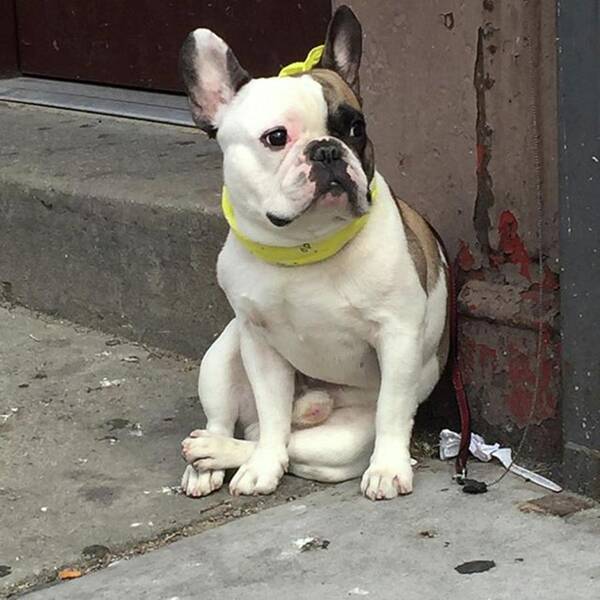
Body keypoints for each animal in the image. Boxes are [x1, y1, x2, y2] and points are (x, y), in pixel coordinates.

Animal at [180, 5, 448, 502]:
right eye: (276, 137)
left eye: (356, 128)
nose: (326, 150)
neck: (303, 248)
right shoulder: (259, 342)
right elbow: (270, 416)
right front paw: (262, 468)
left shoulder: (398, 335)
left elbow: (391, 410)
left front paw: (388, 468)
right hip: (222, 354)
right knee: (243, 423)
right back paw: (206, 460)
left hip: (343, 440)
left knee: (289, 442)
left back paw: (215, 451)